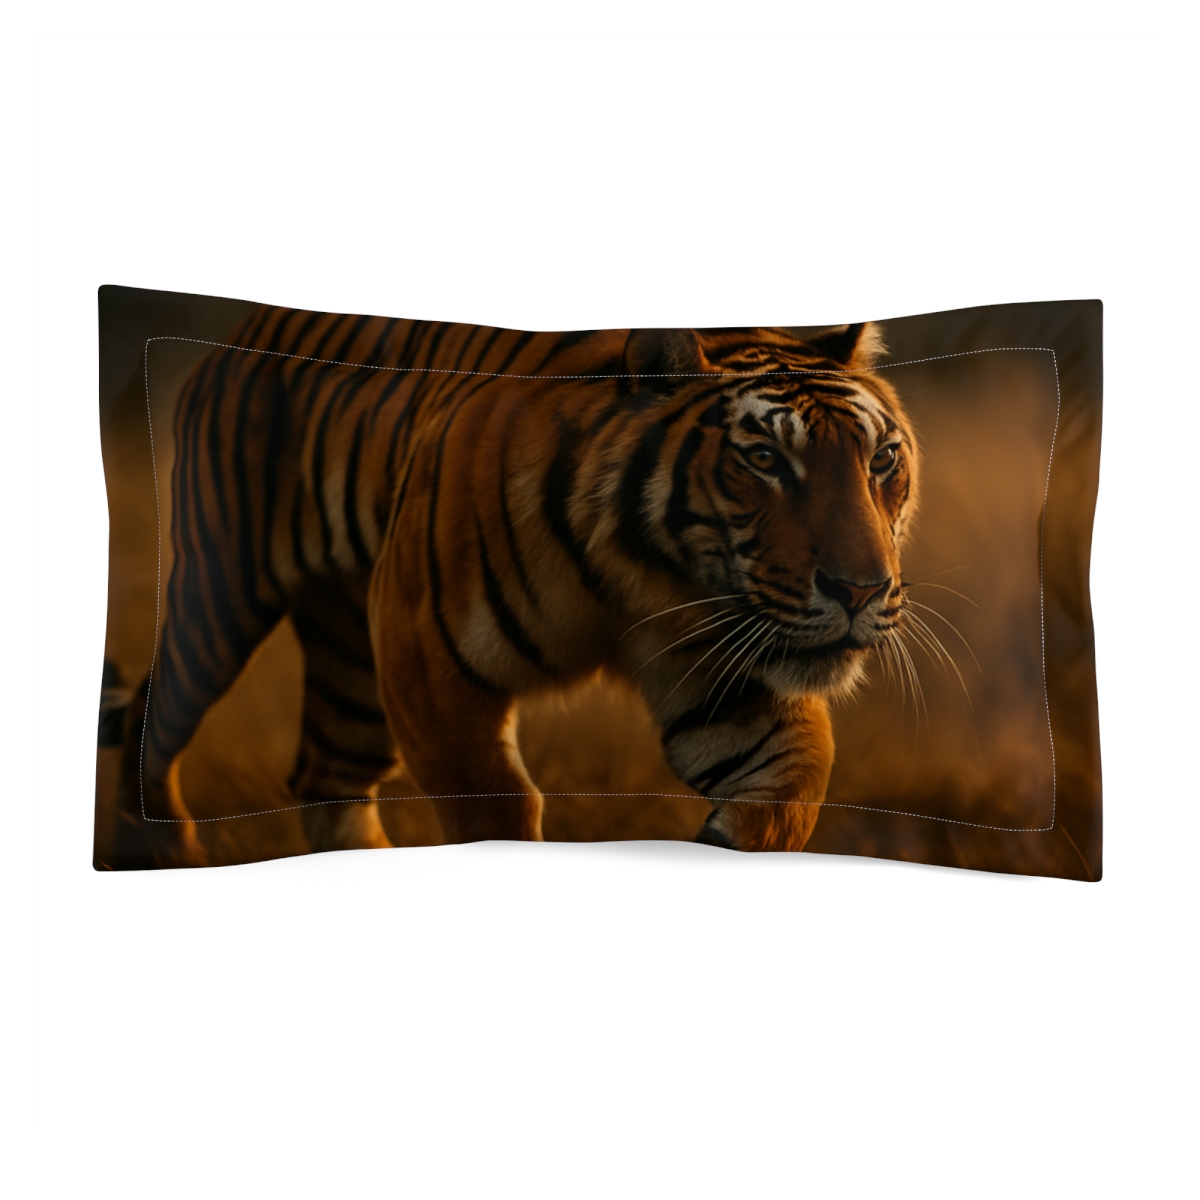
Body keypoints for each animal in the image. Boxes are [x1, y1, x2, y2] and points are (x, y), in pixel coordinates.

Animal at [107, 307, 919, 868]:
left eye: (880, 460)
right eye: (763, 459)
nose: (860, 590)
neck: (648, 577)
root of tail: (245, 329)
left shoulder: (732, 675)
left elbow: (793, 783)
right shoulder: (430, 662)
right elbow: (495, 810)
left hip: (354, 663)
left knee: (325, 771)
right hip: (223, 597)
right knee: (148, 716)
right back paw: (164, 850)